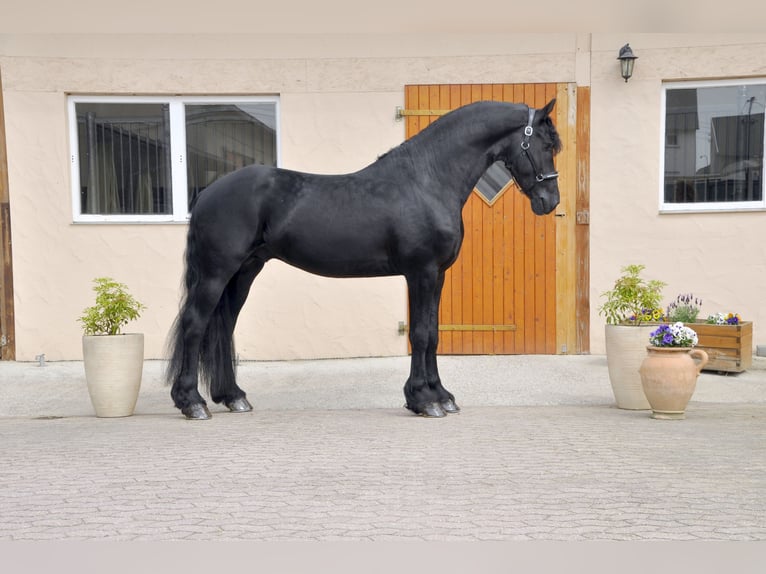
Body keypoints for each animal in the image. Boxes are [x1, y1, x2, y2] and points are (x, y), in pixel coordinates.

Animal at [166, 98, 562, 419]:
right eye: (544, 145)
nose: (550, 201)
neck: (428, 181)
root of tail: (207, 193)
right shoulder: (421, 273)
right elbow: (420, 334)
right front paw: (423, 400)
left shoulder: (437, 275)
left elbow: (433, 332)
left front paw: (441, 395)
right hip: (217, 272)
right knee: (195, 324)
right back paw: (192, 402)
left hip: (245, 271)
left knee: (224, 325)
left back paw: (233, 397)